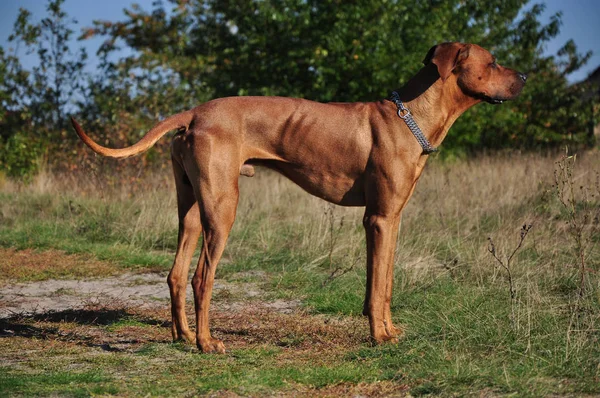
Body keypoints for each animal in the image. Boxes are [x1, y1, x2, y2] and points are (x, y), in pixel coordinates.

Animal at [72, 42, 528, 354]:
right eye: (492, 62)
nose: (524, 78)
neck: (411, 117)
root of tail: (195, 112)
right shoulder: (379, 219)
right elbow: (377, 285)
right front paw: (379, 336)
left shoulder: (391, 219)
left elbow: (384, 282)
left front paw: (388, 329)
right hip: (222, 209)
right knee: (202, 276)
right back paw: (206, 343)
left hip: (192, 209)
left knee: (176, 273)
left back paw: (182, 336)